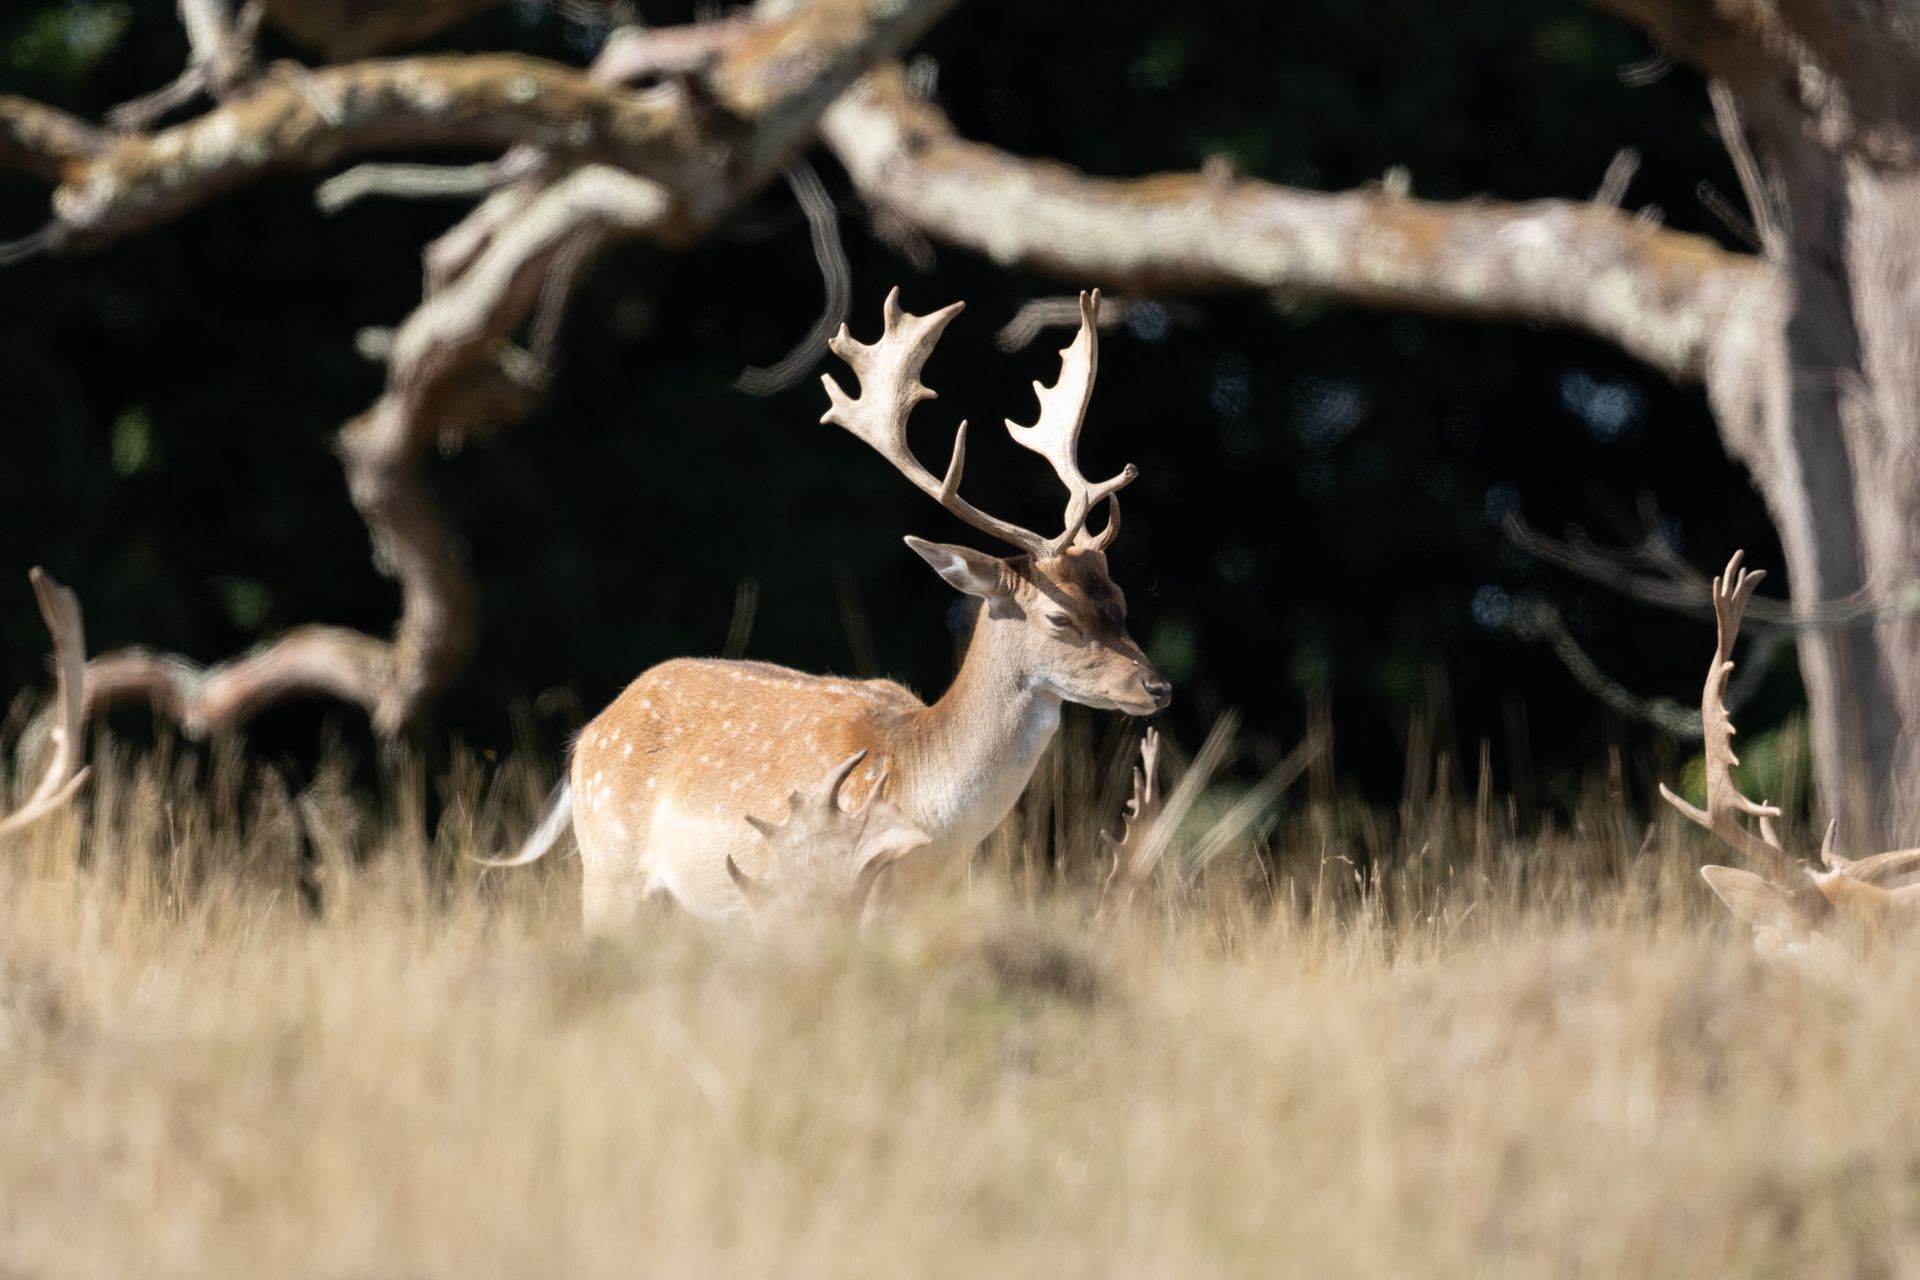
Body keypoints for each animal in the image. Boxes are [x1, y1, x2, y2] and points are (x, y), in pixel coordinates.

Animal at [484, 288, 1171, 927]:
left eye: (1121, 601)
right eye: (1060, 617)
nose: (1157, 687)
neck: (921, 807)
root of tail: (586, 739)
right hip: (610, 870)